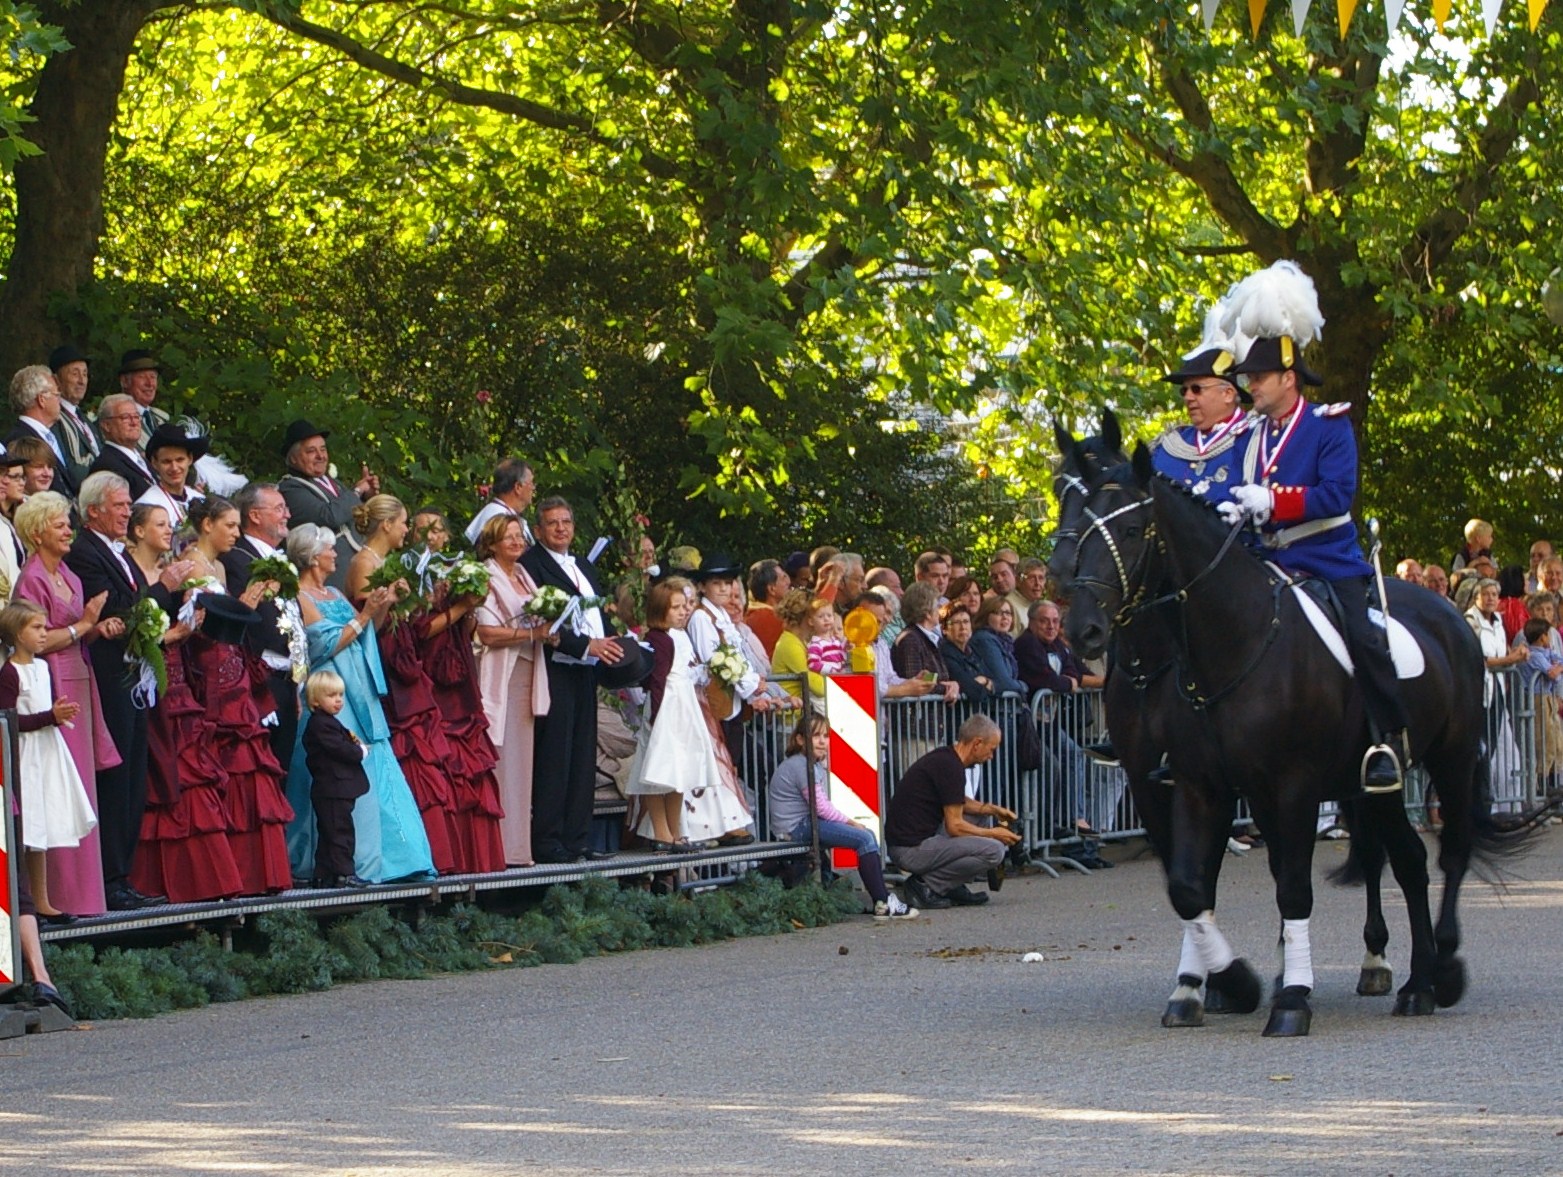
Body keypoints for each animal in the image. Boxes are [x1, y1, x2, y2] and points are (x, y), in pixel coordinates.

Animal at [1052, 420, 1514, 1036]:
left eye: (1129, 528)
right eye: (1065, 504)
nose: (1082, 626)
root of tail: (1452, 618)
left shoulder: (1290, 783)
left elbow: (1291, 888)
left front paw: (1289, 996)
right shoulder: (1192, 784)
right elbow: (1189, 886)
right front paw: (1221, 983)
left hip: (1453, 758)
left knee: (1450, 853)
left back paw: (1440, 969)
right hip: (1377, 781)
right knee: (1408, 860)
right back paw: (1413, 981)